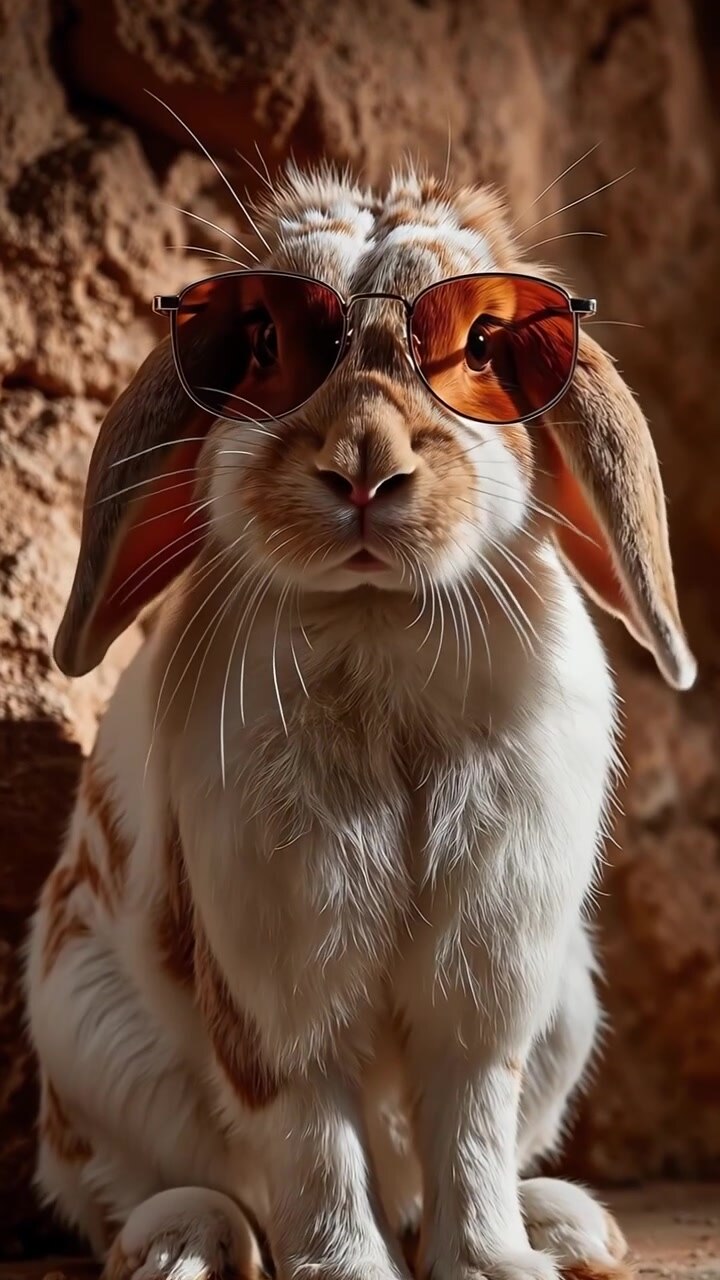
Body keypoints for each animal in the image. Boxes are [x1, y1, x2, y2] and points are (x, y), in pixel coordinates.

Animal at [25, 164, 696, 1280]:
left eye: (482, 348)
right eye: (263, 344)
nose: (364, 468)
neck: (379, 625)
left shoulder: (487, 983)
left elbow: (468, 1127)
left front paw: (496, 1265)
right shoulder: (280, 988)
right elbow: (315, 1142)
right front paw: (347, 1269)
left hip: (565, 1006)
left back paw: (567, 1227)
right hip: (91, 1048)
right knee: (139, 1192)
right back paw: (184, 1247)